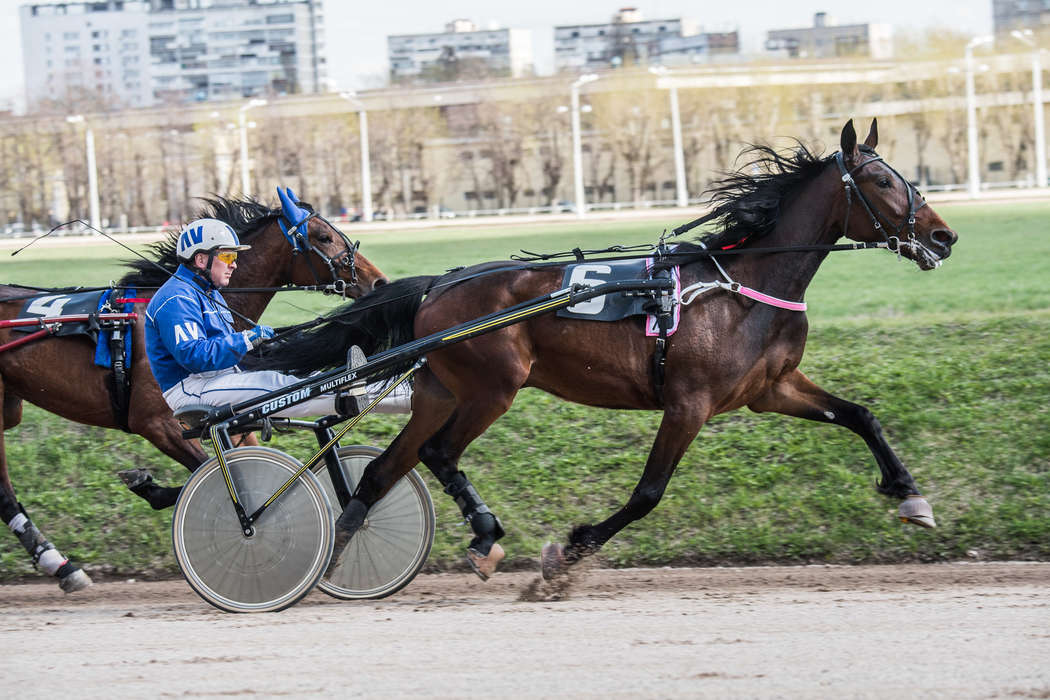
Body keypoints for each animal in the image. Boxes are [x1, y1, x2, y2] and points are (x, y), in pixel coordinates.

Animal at [0, 192, 387, 593]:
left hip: (9, 407)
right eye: (323, 237)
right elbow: (206, 475)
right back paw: (60, 563)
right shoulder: (157, 423)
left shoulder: (232, 418)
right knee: (4, 493)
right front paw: (152, 488)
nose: (378, 282)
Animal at [259, 119, 958, 581]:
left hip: (439, 390)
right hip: (492, 387)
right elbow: (648, 493)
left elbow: (861, 415)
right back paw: (481, 537)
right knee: (439, 453)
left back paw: (344, 541)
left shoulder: (770, 389)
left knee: (384, 469)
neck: (740, 286)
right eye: (879, 180)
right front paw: (569, 552)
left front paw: (911, 496)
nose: (944, 237)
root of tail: (439, 285)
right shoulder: (689, 403)